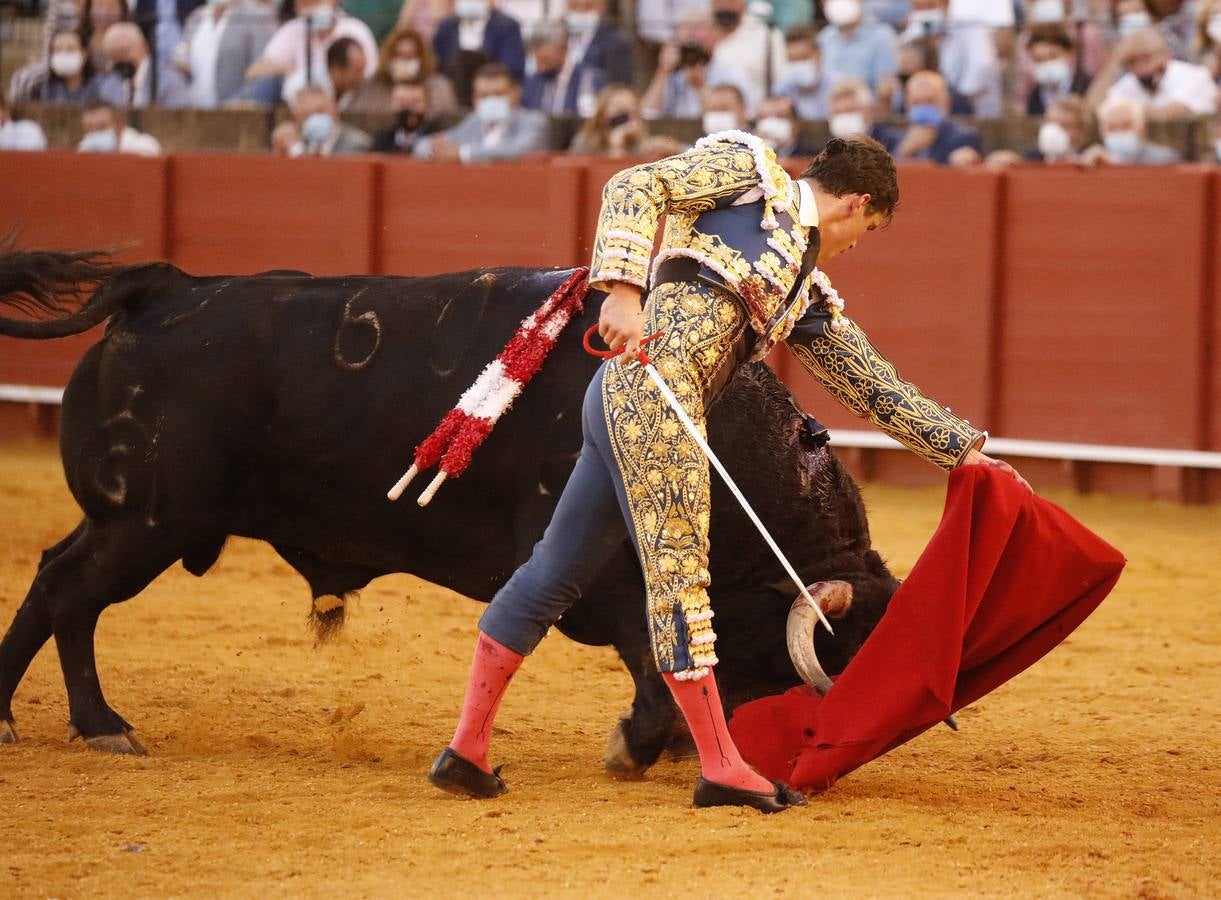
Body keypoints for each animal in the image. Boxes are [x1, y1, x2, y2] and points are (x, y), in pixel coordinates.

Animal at [0, 254, 898, 771]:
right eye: (819, 667)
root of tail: (164, 288)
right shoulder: (601, 575)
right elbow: (650, 661)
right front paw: (639, 744)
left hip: (128, 525)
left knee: (53, 584)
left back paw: (33, 720)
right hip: (144, 525)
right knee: (69, 595)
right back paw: (97, 724)